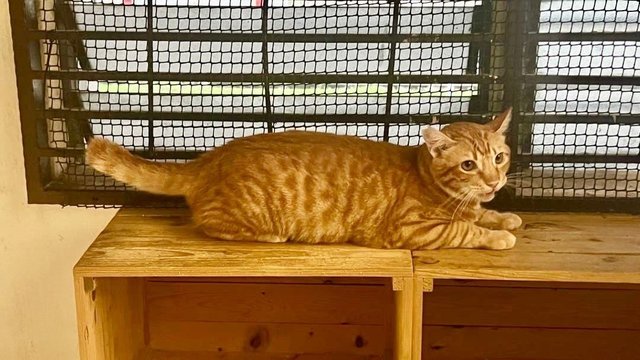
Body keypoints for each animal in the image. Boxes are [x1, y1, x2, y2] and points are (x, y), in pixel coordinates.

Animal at [87, 108, 524, 249]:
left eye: (499, 158)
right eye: (468, 165)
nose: (493, 182)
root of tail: (213, 156)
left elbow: (478, 216)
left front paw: (504, 216)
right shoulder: (413, 229)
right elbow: (465, 230)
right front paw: (498, 235)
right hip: (242, 213)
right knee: (209, 223)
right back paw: (270, 236)